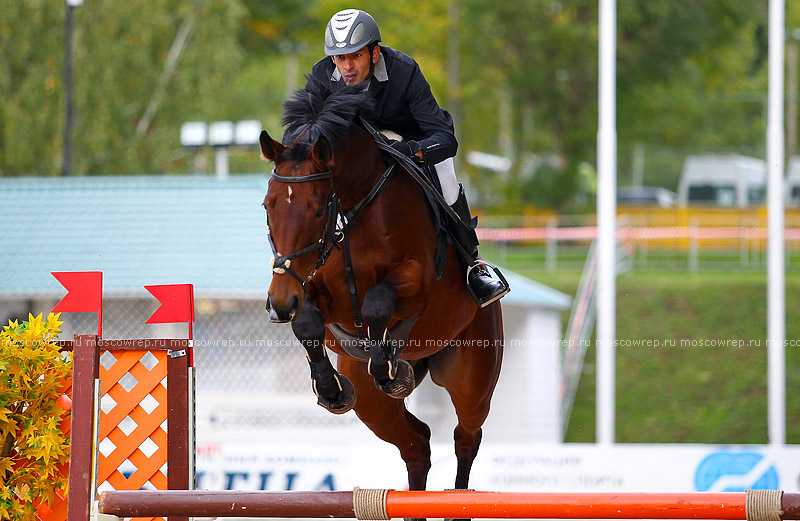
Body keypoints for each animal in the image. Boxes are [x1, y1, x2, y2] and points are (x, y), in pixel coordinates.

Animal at [260, 82, 504, 496]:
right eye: (267, 206)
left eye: (318, 210)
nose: (280, 302)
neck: (354, 206)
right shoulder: (311, 287)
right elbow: (307, 323)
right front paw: (330, 388)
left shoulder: (418, 284)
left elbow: (377, 303)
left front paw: (387, 366)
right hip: (372, 405)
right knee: (417, 443)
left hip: (472, 377)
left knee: (466, 434)